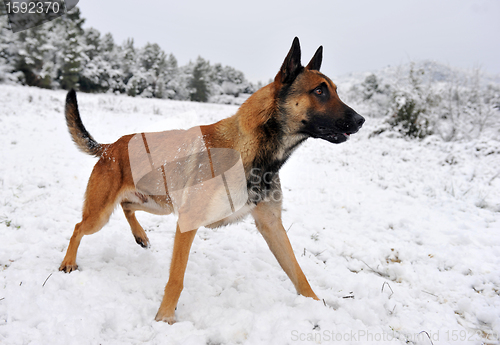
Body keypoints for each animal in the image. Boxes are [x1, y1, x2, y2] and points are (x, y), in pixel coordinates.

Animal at [59, 37, 364, 322]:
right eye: (319, 91)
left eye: (335, 90)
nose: (361, 120)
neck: (253, 150)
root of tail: (110, 147)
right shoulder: (188, 223)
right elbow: (176, 278)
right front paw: (165, 318)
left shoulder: (271, 225)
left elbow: (298, 273)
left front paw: (318, 306)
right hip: (101, 215)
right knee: (78, 227)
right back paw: (68, 262)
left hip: (157, 204)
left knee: (126, 206)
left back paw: (140, 235)